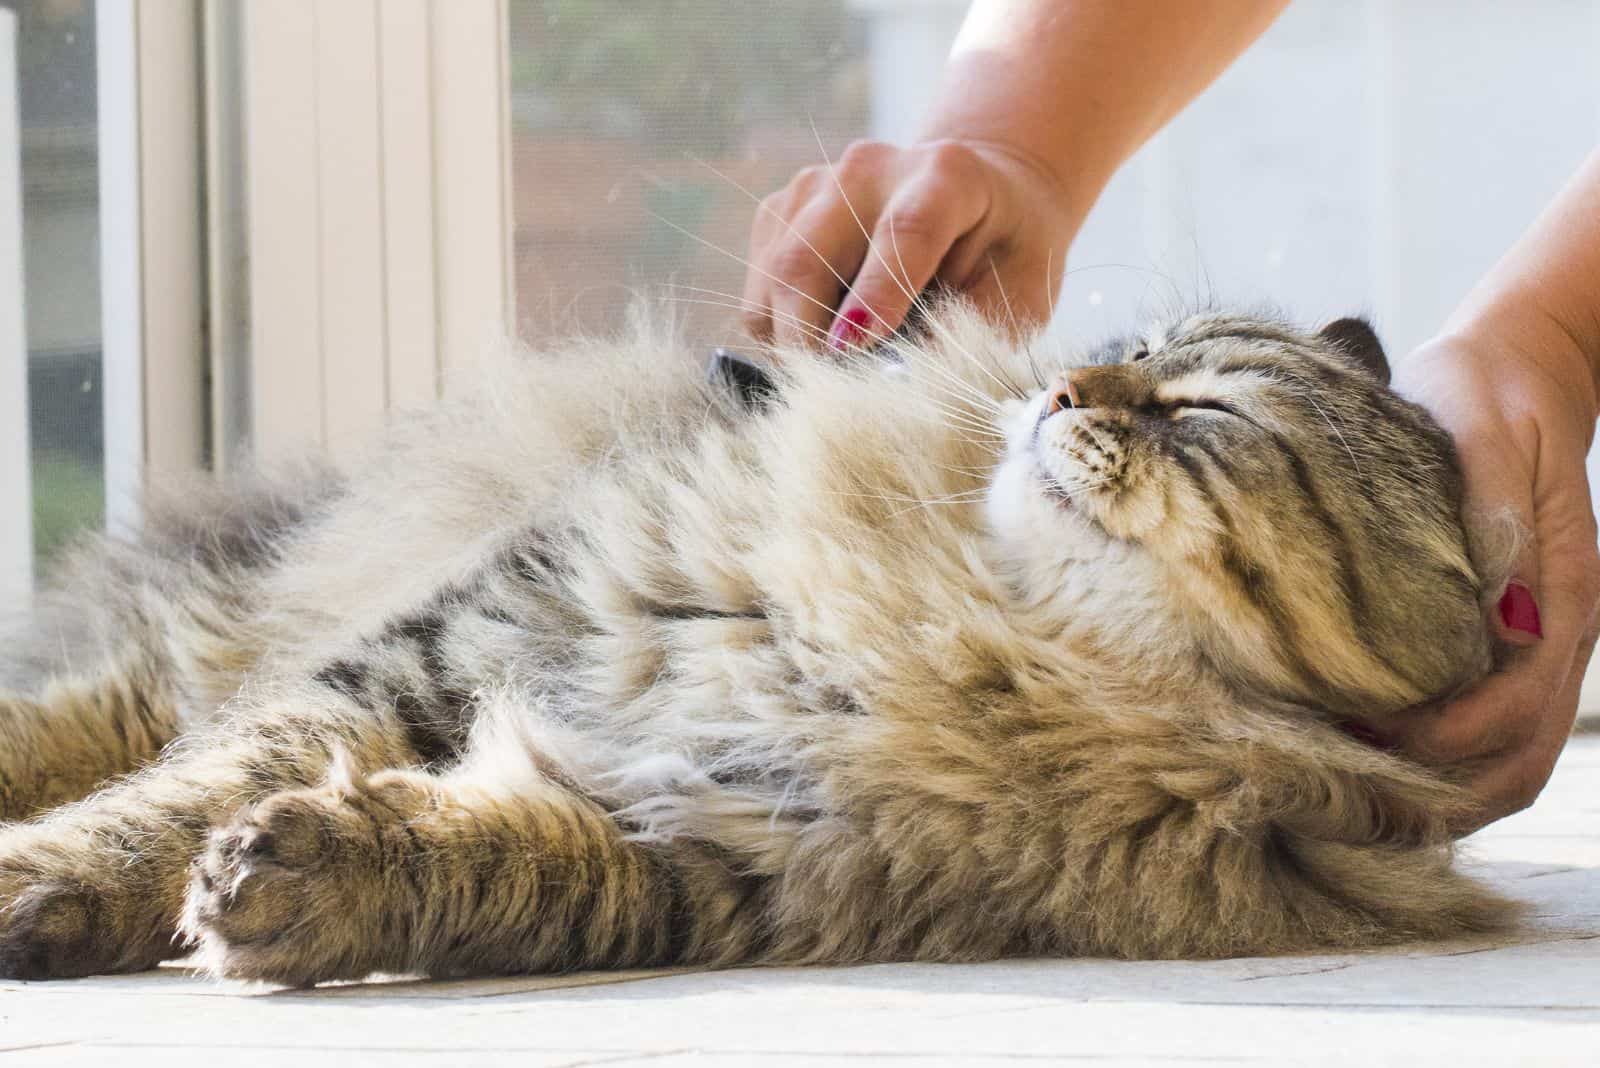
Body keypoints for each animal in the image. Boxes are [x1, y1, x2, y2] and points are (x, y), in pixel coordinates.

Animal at [0, 302, 1510, 984]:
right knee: (111, 717)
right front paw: (49, 884)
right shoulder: (446, 649)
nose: (1060, 391)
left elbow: (488, 867)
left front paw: (294, 884)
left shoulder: (742, 846)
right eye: (1132, 344)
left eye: (1205, 416)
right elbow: (167, 806)